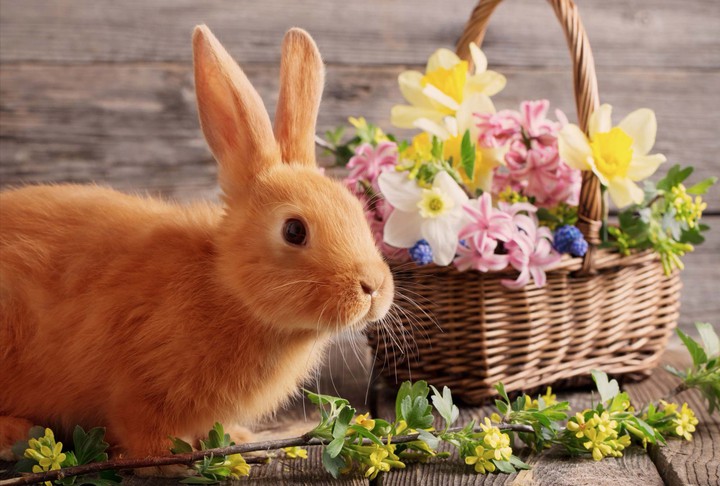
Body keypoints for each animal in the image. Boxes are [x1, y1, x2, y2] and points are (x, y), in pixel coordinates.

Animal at [0, 25, 393, 471]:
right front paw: (171, 459)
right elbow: (141, 428)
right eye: (294, 230)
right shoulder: (135, 384)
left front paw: (235, 440)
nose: (373, 288)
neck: (226, 287)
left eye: (358, 212)